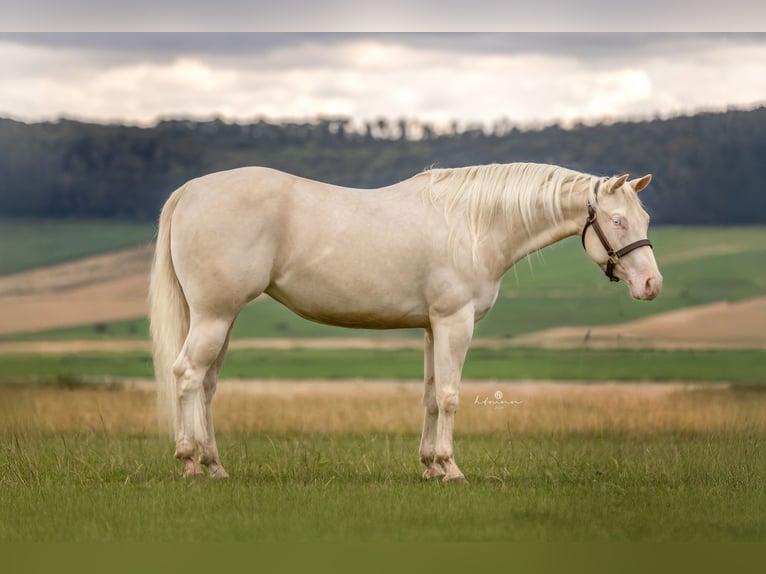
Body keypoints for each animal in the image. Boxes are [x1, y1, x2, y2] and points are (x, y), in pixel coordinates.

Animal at [152, 161, 664, 482]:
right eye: (617, 221)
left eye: (644, 218)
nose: (651, 284)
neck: (475, 225)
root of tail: (190, 190)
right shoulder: (456, 323)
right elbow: (452, 396)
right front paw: (451, 468)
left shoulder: (433, 326)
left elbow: (431, 396)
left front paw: (429, 465)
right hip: (215, 316)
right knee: (187, 375)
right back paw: (190, 462)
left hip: (220, 319)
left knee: (207, 385)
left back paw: (215, 466)